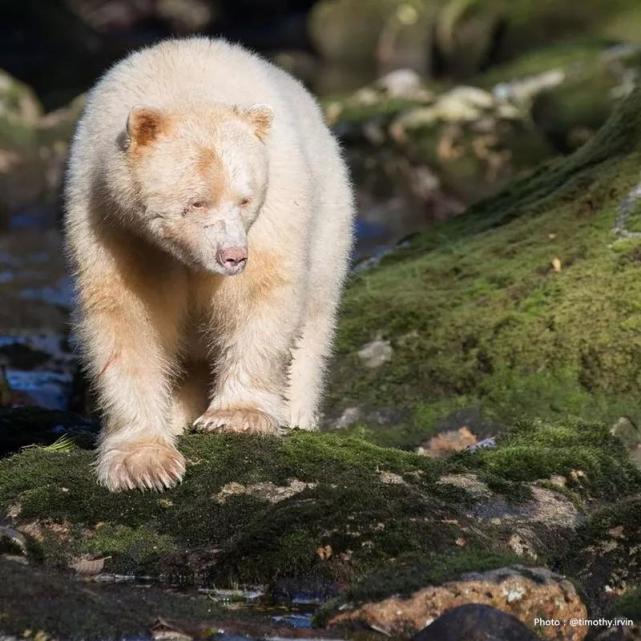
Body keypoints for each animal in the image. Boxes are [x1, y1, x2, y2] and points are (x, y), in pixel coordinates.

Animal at [63, 37, 356, 490]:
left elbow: (260, 292)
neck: (183, 82)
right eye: (195, 202)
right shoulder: (114, 226)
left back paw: (295, 412)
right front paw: (144, 463)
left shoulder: (274, 209)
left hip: (329, 231)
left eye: (245, 199)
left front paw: (237, 417)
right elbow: (129, 318)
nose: (232, 255)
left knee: (313, 327)